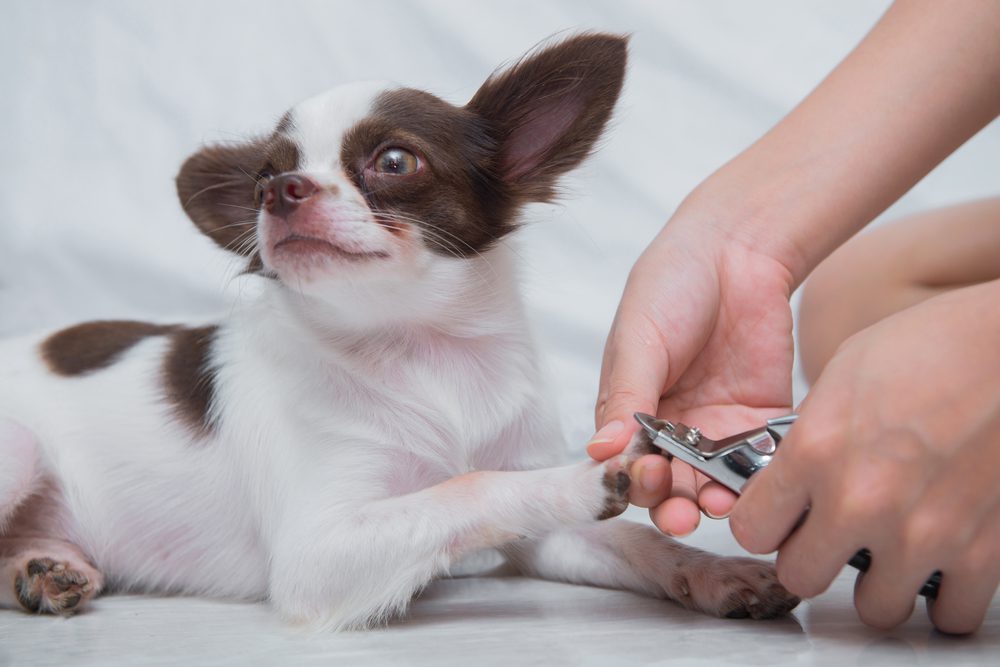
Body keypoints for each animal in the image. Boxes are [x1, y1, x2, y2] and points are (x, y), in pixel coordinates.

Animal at [0, 34, 796, 628]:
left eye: (394, 161)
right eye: (263, 176)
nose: (276, 192)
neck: (423, 348)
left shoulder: (543, 542)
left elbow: (633, 538)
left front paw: (713, 570)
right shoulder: (316, 553)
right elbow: (467, 488)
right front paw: (584, 474)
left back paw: (45, 567)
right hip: (19, 447)